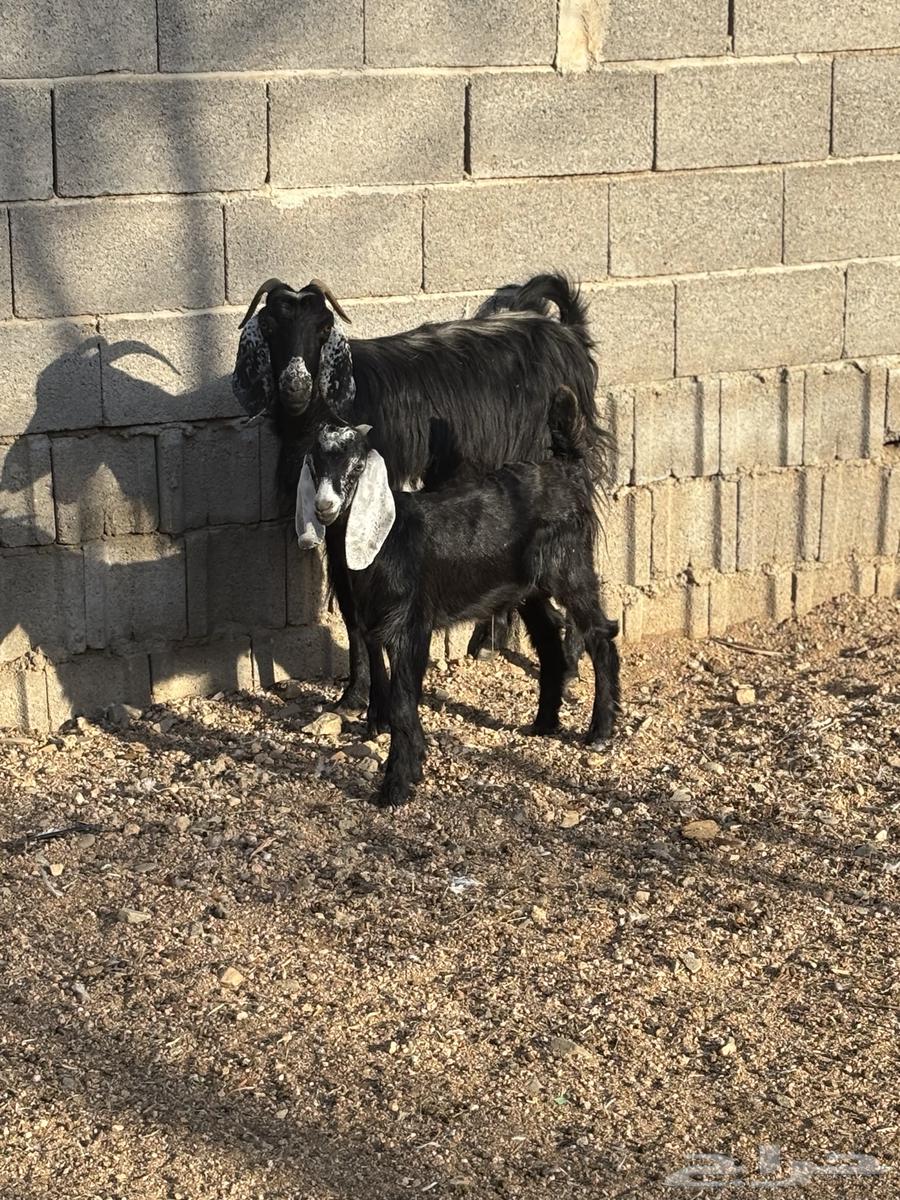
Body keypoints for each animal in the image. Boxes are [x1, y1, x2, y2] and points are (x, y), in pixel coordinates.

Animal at [232, 273, 604, 711]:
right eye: (270, 326)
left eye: (323, 328)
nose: (295, 386)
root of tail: (568, 333)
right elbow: (349, 605)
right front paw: (352, 696)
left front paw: (365, 693)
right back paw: (493, 641)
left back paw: (569, 662)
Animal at [296, 391, 620, 808]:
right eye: (314, 463)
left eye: (355, 467)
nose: (325, 507)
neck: (389, 537)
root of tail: (567, 468)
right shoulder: (373, 623)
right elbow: (383, 684)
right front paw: (399, 751)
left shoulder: (411, 624)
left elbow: (403, 701)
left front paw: (397, 785)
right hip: (526, 587)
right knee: (550, 637)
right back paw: (543, 724)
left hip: (570, 565)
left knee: (599, 633)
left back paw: (600, 730)